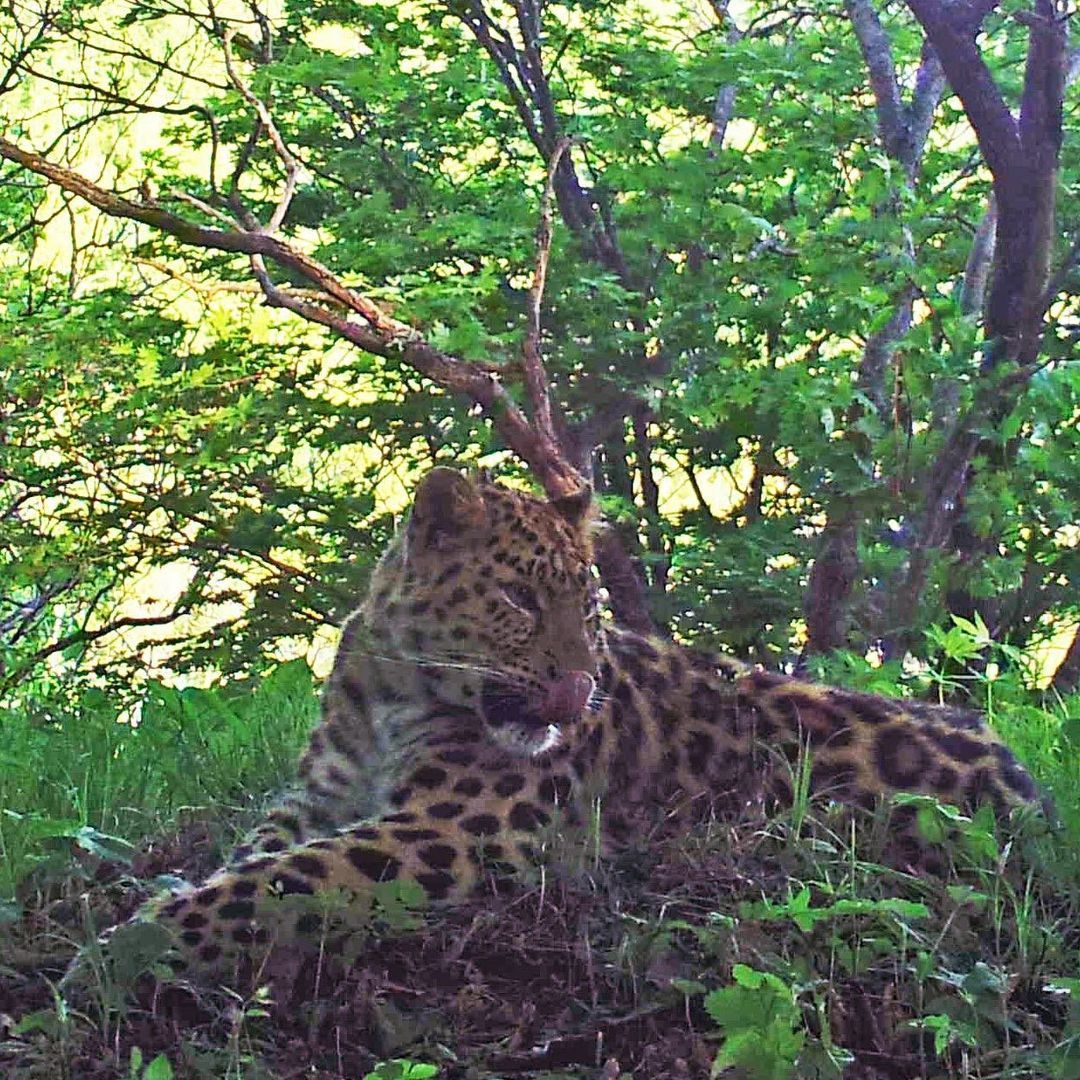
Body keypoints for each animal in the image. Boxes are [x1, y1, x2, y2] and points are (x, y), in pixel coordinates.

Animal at [126, 468, 1045, 984]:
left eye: (591, 604)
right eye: (517, 599)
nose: (581, 688)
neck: (393, 688)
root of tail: (1022, 779)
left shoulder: (453, 827)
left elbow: (287, 879)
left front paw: (133, 941)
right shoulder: (315, 796)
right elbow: (257, 856)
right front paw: (164, 900)